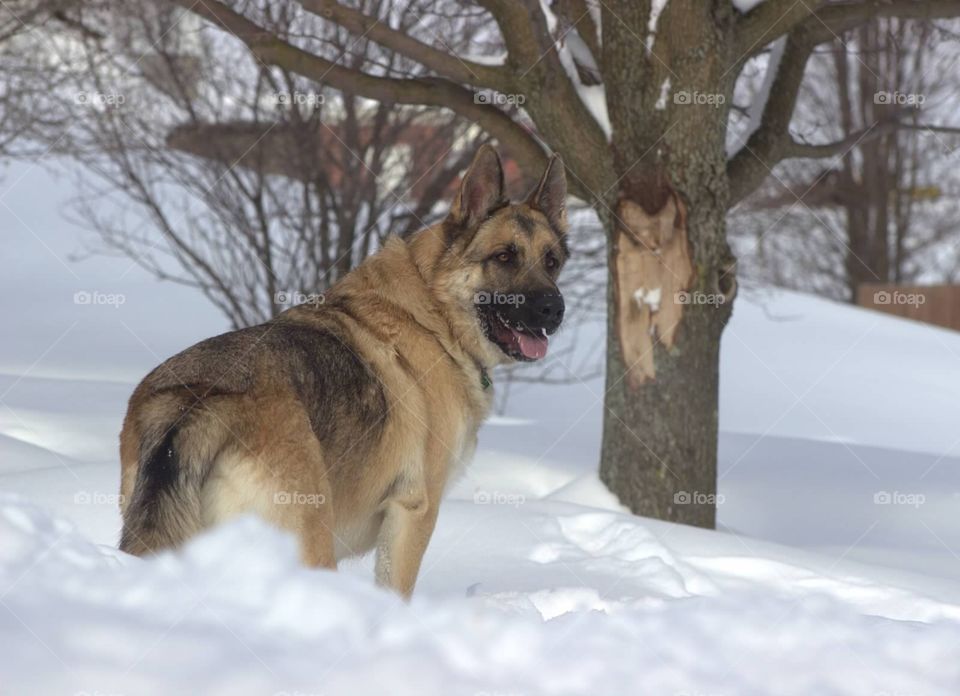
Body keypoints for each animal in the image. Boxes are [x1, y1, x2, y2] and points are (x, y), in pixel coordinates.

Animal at [120, 147, 568, 600]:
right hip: (312, 544)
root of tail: (201, 400)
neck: (435, 311)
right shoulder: (413, 513)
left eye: (552, 262)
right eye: (504, 256)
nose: (555, 309)